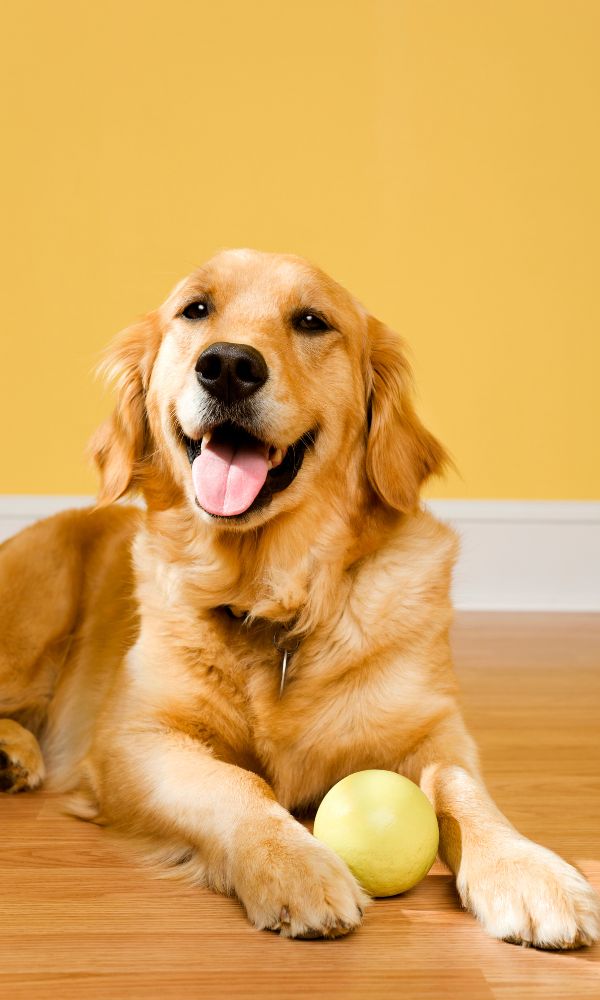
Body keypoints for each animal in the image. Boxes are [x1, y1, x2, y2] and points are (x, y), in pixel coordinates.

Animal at [1, 250, 600, 944]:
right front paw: (294, 864)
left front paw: (528, 869)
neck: (276, 600)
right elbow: (234, 783)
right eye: (195, 309)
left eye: (312, 320)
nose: (228, 366)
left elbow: (462, 789)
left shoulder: (435, 728)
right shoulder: (134, 739)